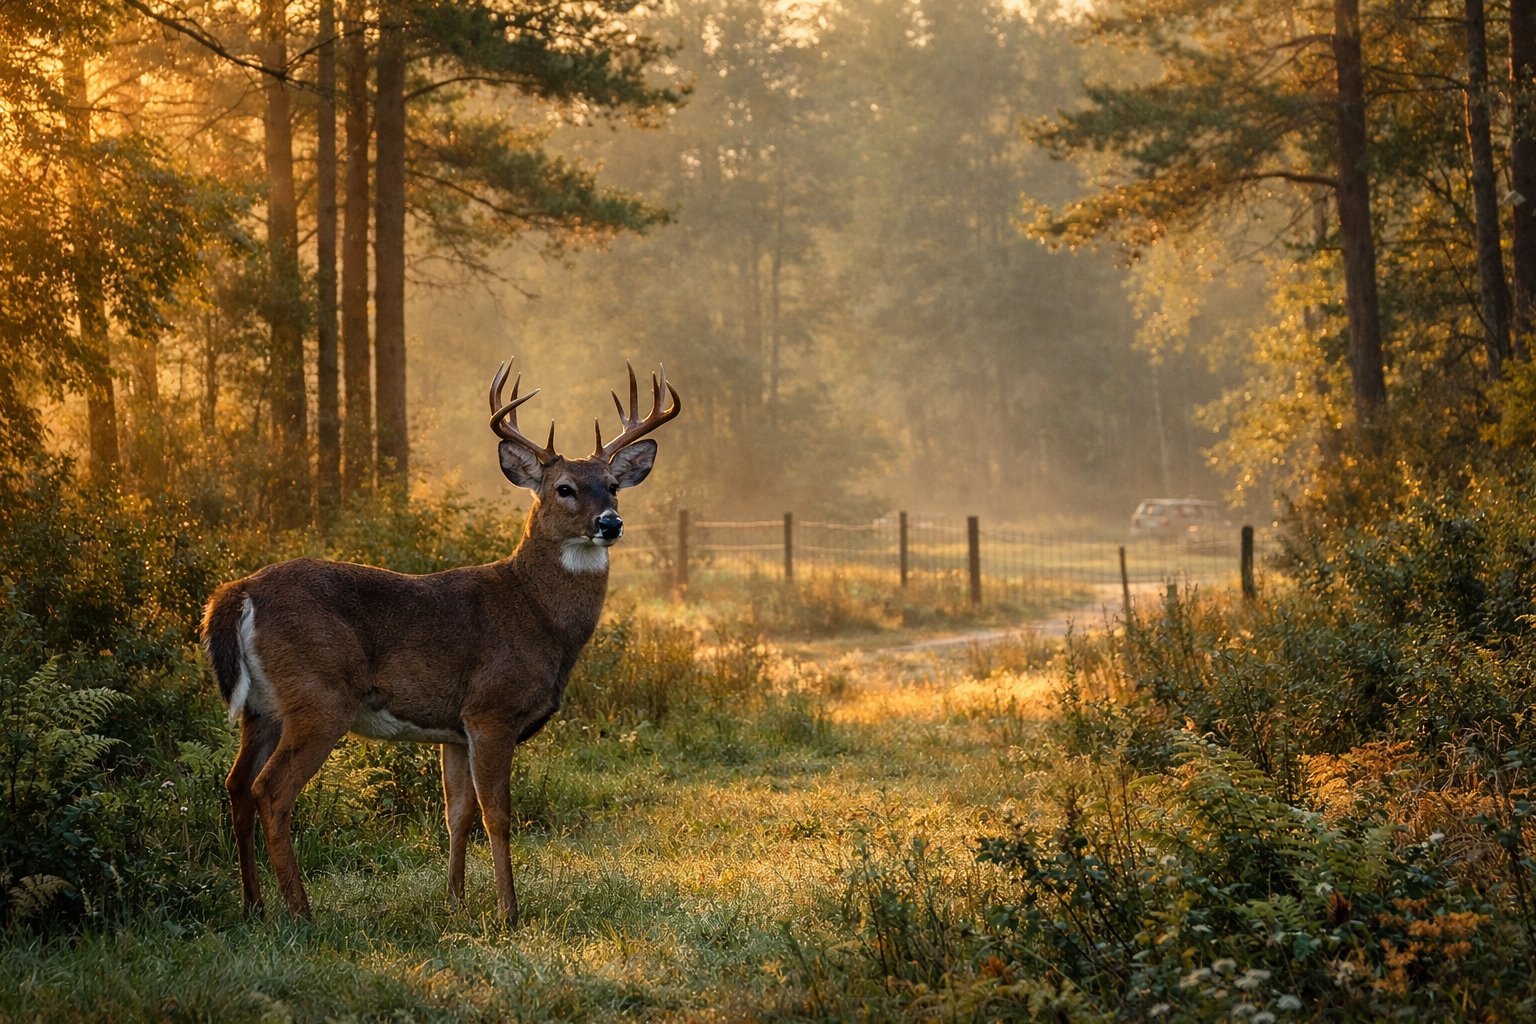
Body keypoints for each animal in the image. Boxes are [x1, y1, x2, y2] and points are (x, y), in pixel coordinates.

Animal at [200, 359, 680, 925]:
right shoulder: (492, 708)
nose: (610, 523)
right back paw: (301, 911)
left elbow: (457, 813)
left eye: (613, 485)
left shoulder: (454, 730)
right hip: (319, 696)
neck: (536, 615)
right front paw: (508, 911)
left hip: (261, 708)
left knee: (235, 786)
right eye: (565, 487)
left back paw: (252, 904)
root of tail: (240, 590)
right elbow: (497, 814)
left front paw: (454, 900)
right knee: (270, 791)